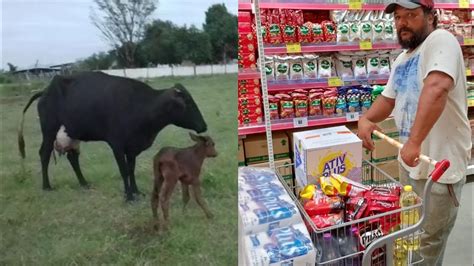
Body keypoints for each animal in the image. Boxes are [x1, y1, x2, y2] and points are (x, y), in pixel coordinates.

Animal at [18, 71, 207, 201]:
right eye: (187, 103)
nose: (204, 126)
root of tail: (45, 91)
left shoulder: (131, 148)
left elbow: (131, 169)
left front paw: (136, 191)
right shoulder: (116, 144)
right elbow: (123, 170)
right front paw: (129, 196)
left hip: (71, 133)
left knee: (73, 158)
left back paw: (84, 183)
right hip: (49, 131)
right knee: (44, 154)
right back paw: (46, 186)